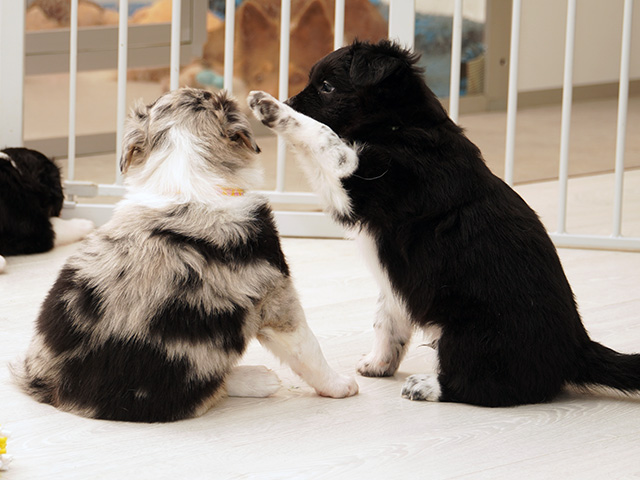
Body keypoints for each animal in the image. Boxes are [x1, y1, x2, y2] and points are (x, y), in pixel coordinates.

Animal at [13, 88, 358, 422]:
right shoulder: (278, 297)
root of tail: (52, 389)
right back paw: (261, 379)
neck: (188, 179)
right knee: (213, 388)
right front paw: (341, 386)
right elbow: (308, 349)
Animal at [248, 40, 640, 407]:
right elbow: (386, 318)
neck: (401, 124)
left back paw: (426, 386)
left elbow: (321, 135)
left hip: (469, 333)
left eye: (327, 86)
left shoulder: (356, 177)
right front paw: (377, 363)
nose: (286, 99)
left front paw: (270, 107)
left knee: (486, 385)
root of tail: (578, 348)